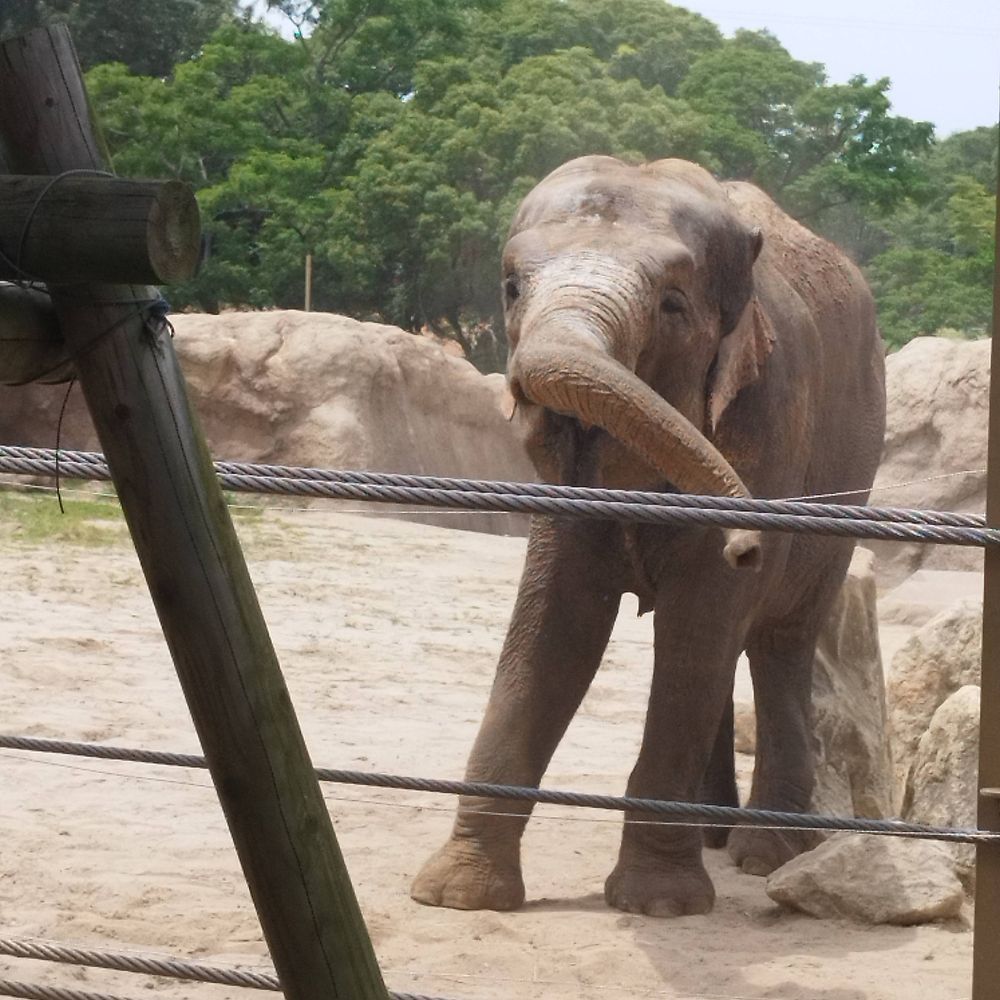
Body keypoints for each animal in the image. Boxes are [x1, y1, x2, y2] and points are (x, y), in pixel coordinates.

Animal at [410, 154, 888, 916]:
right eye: (511, 287)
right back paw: (716, 836)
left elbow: (701, 617)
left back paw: (766, 855)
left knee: (776, 642)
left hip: (850, 481)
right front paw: (457, 896)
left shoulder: (767, 415)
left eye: (672, 305)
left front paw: (657, 904)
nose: (747, 543)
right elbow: (559, 618)